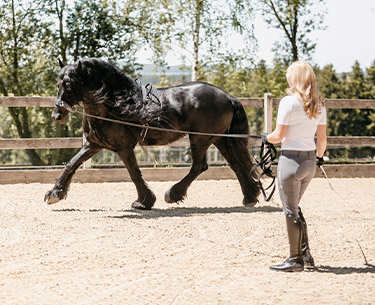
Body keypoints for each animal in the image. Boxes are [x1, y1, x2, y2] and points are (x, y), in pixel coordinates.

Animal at [44, 58, 260, 208]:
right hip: (219, 139)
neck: (114, 103)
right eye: (58, 85)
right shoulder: (94, 145)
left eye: (69, 84)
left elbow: (134, 173)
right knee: (235, 165)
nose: (56, 115)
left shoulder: (124, 148)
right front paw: (55, 194)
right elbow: (71, 164)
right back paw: (250, 197)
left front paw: (143, 201)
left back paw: (173, 194)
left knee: (199, 166)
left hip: (201, 139)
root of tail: (227, 96)